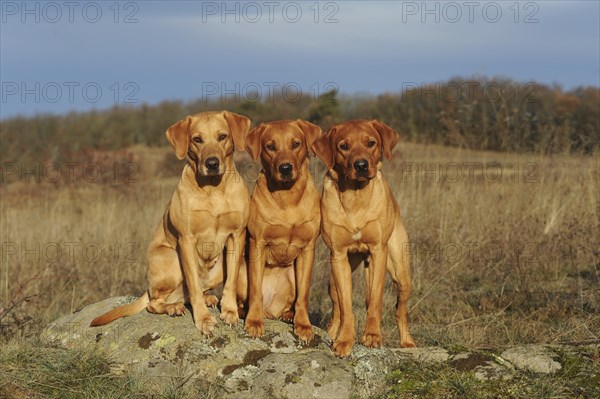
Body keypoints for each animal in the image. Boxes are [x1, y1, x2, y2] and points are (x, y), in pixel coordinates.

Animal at [89, 110, 251, 334]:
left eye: (222, 136)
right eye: (197, 139)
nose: (212, 164)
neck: (214, 188)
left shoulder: (237, 235)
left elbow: (231, 282)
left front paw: (230, 311)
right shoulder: (186, 240)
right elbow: (193, 285)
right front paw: (204, 320)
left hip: (219, 266)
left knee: (192, 293)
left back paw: (206, 298)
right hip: (171, 257)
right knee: (156, 302)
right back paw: (173, 307)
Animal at [240, 119, 322, 344]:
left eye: (295, 144)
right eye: (270, 146)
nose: (285, 168)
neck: (287, 197)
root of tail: (272, 309)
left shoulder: (308, 249)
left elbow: (303, 296)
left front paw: (303, 325)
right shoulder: (257, 244)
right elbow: (255, 291)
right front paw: (254, 322)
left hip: (292, 275)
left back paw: (288, 314)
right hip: (242, 272)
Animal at [312, 120, 414, 358]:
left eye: (371, 143)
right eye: (343, 146)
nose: (361, 165)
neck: (355, 196)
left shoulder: (378, 251)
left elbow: (375, 300)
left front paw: (373, 336)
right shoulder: (338, 255)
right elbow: (346, 307)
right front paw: (344, 340)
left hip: (400, 272)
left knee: (400, 309)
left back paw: (407, 343)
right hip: (334, 278)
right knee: (337, 308)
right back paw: (333, 332)